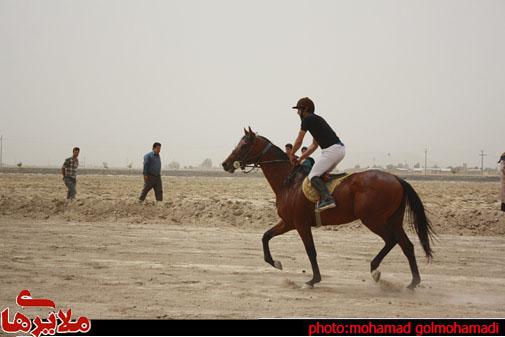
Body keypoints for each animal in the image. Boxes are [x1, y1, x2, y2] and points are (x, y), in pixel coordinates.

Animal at [220, 126, 434, 288]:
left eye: (243, 145)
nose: (225, 164)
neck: (288, 182)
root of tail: (396, 178)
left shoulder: (300, 224)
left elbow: (311, 251)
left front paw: (313, 279)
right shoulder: (288, 222)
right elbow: (266, 236)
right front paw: (276, 263)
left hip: (373, 219)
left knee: (391, 240)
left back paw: (375, 270)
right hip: (393, 220)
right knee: (407, 246)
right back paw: (413, 283)